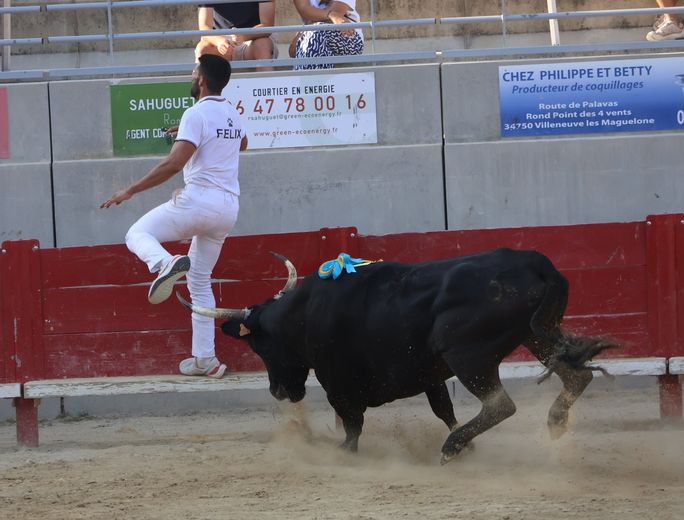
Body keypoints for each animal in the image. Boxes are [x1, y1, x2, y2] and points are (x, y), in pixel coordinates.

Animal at [179, 248, 616, 464]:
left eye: (259, 346)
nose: (279, 392)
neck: (304, 314)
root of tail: (538, 264)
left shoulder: (338, 383)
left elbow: (352, 426)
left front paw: (343, 453)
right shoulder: (430, 374)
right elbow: (443, 408)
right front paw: (470, 447)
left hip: (468, 354)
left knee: (500, 404)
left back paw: (451, 448)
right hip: (538, 335)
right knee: (577, 375)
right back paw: (553, 423)